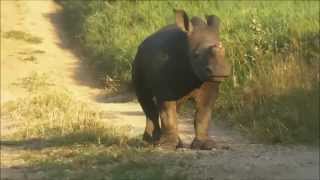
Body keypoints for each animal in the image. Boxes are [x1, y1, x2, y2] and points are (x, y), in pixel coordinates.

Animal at [132, 9, 230, 150]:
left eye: (225, 52)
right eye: (196, 55)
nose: (220, 70)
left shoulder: (209, 81)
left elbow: (203, 114)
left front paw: (206, 144)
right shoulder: (165, 87)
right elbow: (167, 112)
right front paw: (167, 146)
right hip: (138, 61)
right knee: (145, 98)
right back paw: (150, 142)